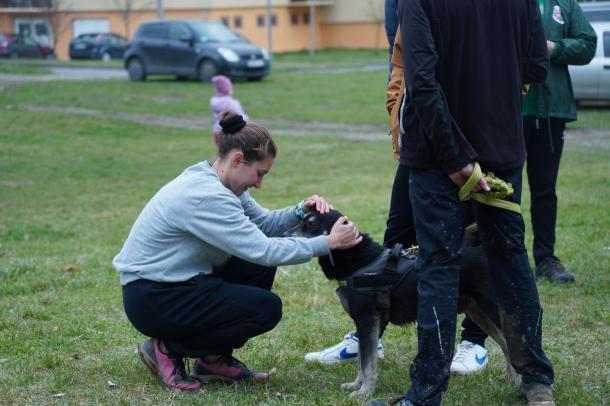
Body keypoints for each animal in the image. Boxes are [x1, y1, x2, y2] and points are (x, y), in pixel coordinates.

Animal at [288, 211, 512, 398]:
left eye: (312, 223)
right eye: (301, 218)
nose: (286, 233)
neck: (361, 261)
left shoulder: (367, 320)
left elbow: (367, 362)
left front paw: (364, 393)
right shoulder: (371, 323)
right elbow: (363, 359)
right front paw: (357, 385)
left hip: (491, 309)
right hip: (479, 313)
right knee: (506, 344)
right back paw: (509, 378)